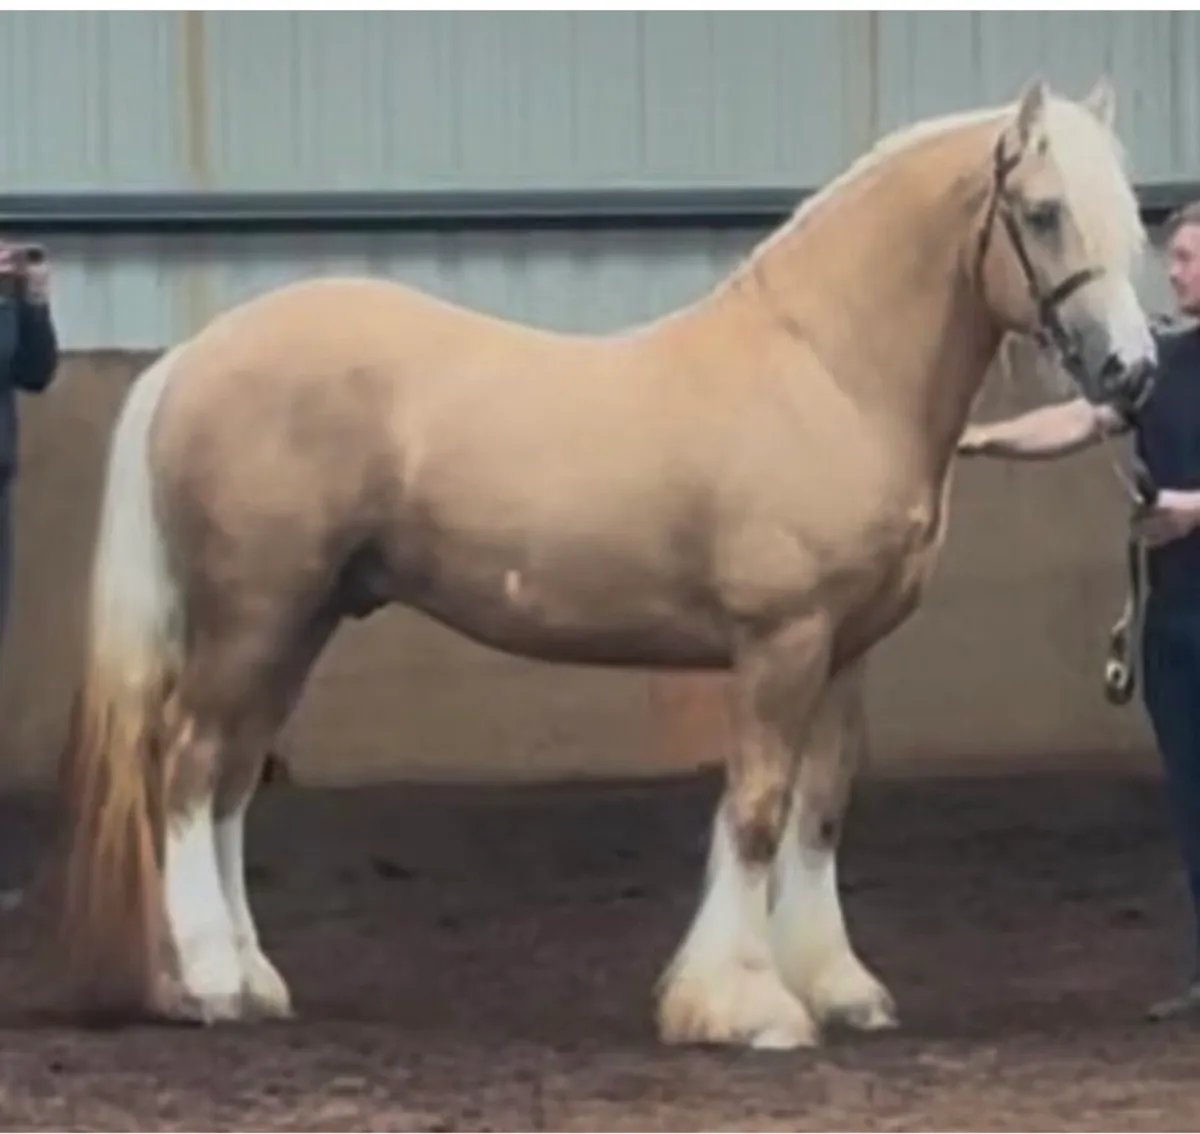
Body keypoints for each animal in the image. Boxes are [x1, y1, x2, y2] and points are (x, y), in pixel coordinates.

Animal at [53, 76, 1155, 1048]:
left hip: (300, 621)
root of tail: (191, 355)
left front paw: (840, 989)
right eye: (1045, 213)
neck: (828, 372)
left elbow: (819, 814)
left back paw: (252, 979)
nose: (1131, 372)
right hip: (254, 617)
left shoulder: (847, 652)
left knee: (232, 779)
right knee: (191, 765)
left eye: (1130, 220)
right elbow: (756, 811)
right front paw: (743, 1006)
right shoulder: (780, 644)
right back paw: (208, 983)